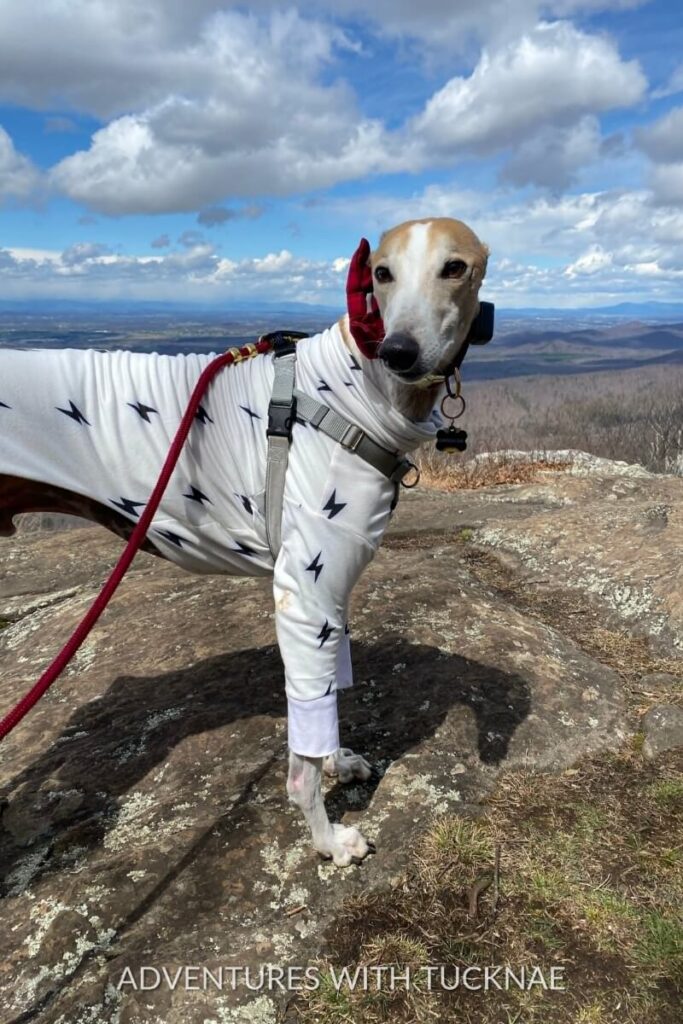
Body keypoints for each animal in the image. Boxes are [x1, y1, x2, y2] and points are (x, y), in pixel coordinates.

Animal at [1, 216, 491, 864]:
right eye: (382, 273)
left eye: (454, 267)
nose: (399, 351)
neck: (353, 390)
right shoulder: (303, 595)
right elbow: (303, 753)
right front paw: (327, 839)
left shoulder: (328, 597)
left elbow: (327, 695)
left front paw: (339, 763)